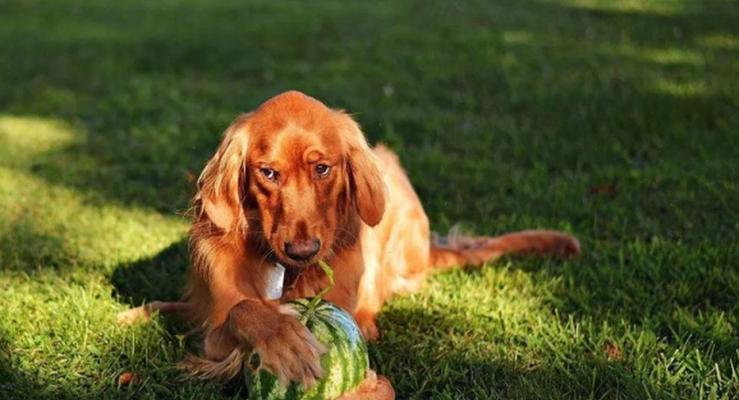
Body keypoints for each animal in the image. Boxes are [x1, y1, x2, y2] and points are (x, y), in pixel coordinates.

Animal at [118, 91, 580, 400]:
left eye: (323, 168)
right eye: (268, 173)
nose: (302, 250)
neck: (288, 274)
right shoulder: (214, 328)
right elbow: (241, 309)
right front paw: (284, 339)